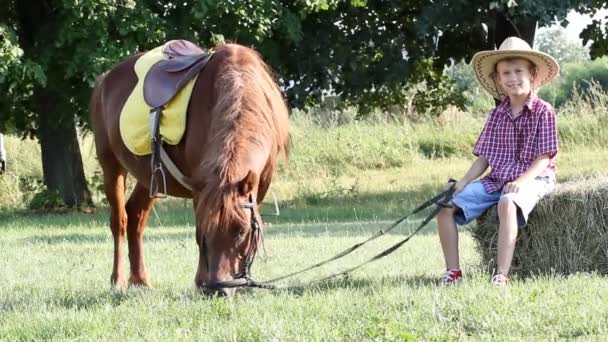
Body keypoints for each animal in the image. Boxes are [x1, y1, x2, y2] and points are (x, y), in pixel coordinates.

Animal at [89, 41, 290, 296]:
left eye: (242, 230)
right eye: (208, 228)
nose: (219, 289)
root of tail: (104, 80)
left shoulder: (258, 187)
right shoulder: (200, 187)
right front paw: (200, 281)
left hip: (150, 177)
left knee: (135, 216)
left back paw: (141, 280)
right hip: (111, 167)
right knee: (120, 221)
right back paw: (119, 279)